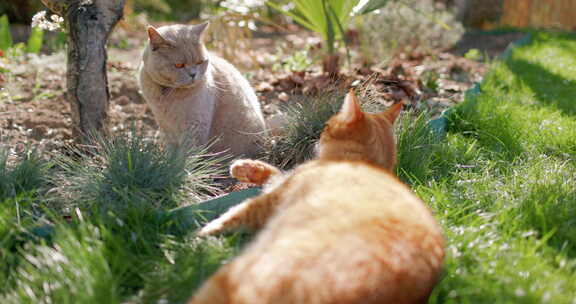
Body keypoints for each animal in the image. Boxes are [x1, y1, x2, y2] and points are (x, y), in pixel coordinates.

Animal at [138, 22, 266, 157]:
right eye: (179, 65)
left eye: (200, 62)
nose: (193, 74)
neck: (166, 93)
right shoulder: (165, 126)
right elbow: (172, 150)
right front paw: (169, 161)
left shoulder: (195, 126)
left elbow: (188, 153)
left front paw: (182, 163)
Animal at [190, 90, 446, 304]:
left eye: (327, 125)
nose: (318, 133)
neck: (365, 165)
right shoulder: (284, 181)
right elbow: (274, 172)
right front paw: (245, 168)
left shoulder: (272, 199)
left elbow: (233, 213)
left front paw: (200, 234)